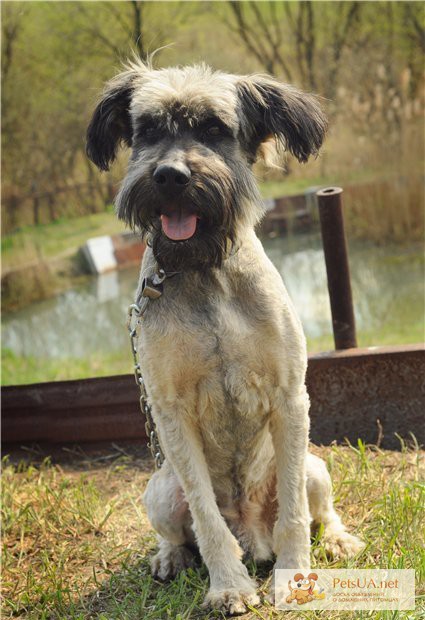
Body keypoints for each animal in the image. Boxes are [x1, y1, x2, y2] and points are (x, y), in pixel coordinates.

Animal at [87, 58, 364, 616]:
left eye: (215, 129)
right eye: (147, 130)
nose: (170, 176)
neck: (204, 269)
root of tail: (251, 530)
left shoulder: (289, 398)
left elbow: (295, 516)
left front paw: (293, 576)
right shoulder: (171, 412)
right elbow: (206, 519)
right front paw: (229, 586)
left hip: (315, 467)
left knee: (319, 510)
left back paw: (337, 539)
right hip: (159, 489)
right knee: (180, 530)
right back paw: (171, 557)